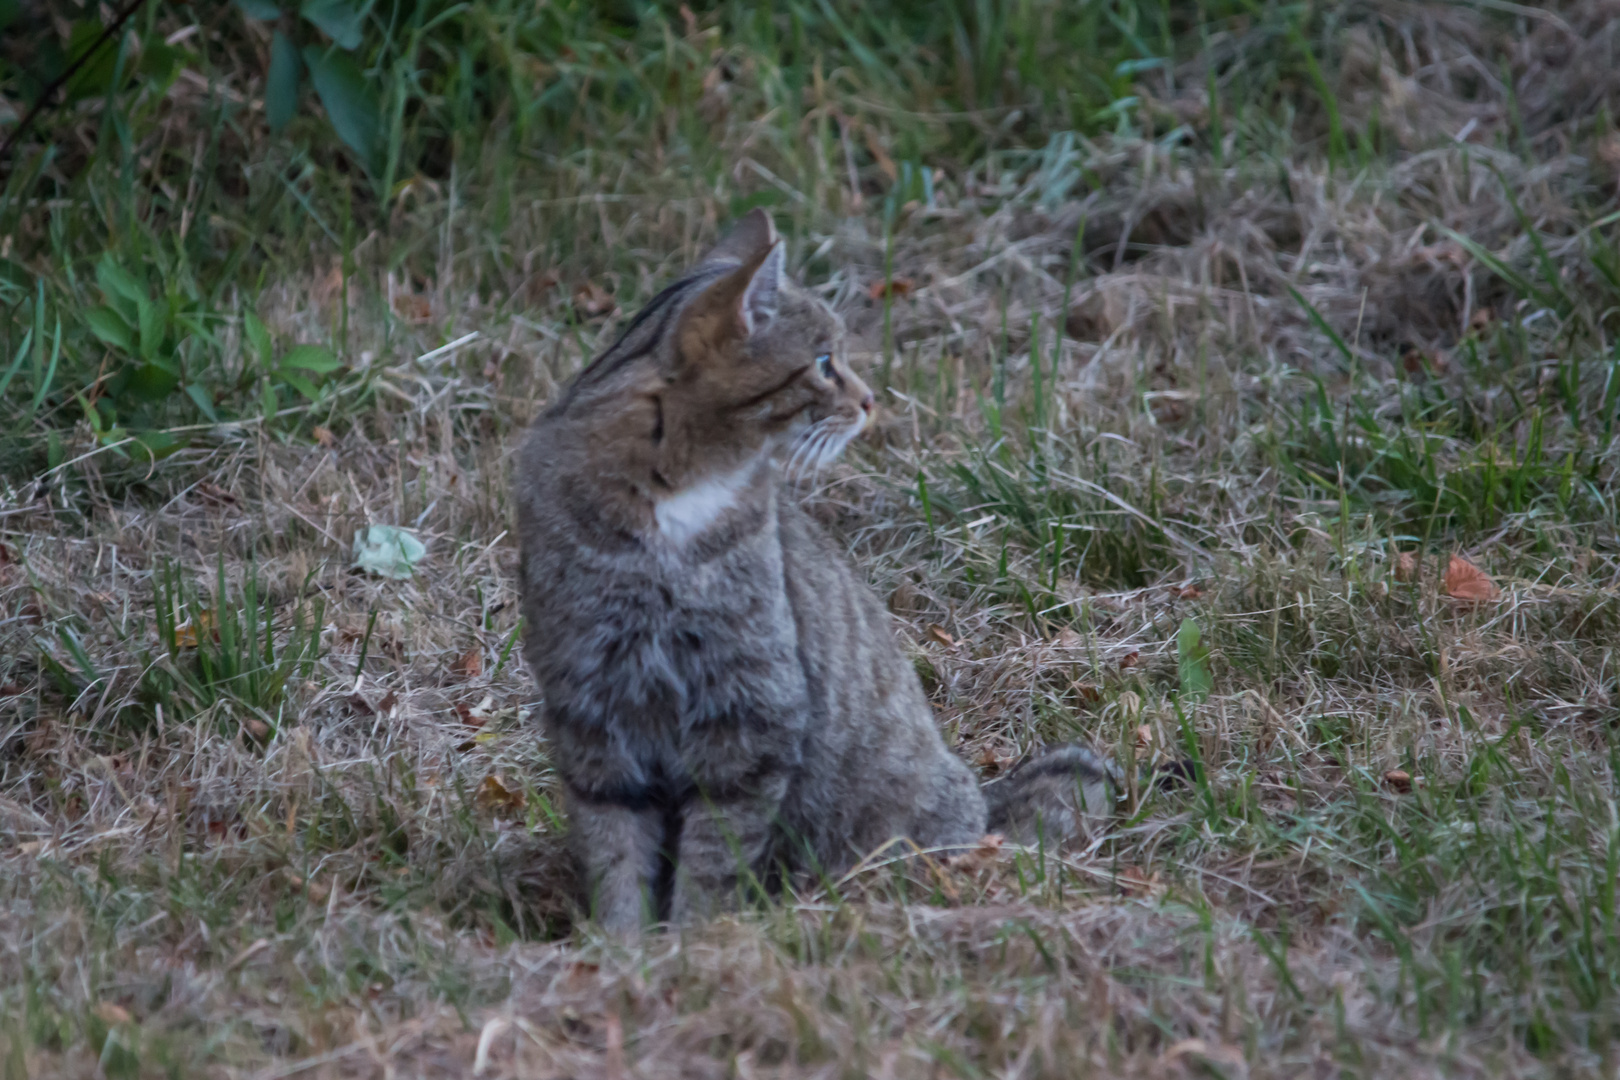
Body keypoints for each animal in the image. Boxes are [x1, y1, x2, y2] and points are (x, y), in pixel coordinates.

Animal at [518, 208, 1114, 932]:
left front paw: (692, 940)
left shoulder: (749, 710)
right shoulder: (591, 702)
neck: (671, 497)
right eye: (825, 363)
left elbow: (713, 859)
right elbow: (615, 853)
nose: (871, 399)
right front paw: (621, 945)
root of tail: (984, 817)